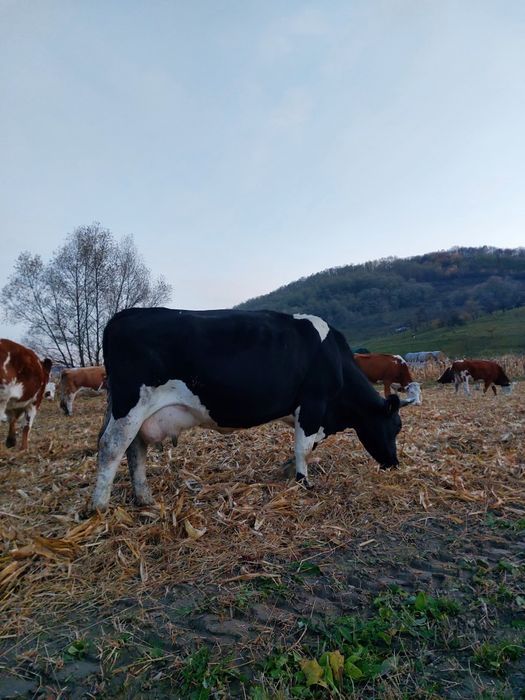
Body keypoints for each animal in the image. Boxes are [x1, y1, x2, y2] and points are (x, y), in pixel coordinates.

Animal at [89, 308, 414, 512]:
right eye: (395, 426)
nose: (393, 463)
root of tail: (126, 314)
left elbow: (306, 447)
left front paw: (287, 470)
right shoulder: (313, 404)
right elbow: (303, 448)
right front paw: (303, 481)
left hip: (133, 411)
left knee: (135, 449)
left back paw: (144, 498)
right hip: (130, 405)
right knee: (111, 446)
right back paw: (99, 505)